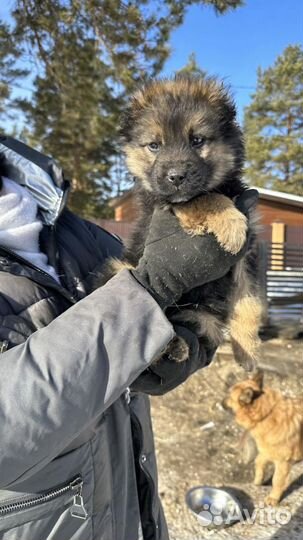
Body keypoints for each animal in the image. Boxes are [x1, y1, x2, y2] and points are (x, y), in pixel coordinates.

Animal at [101, 76, 262, 370]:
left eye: (197, 140)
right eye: (154, 145)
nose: (176, 177)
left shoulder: (249, 254)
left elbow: (250, 301)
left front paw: (248, 351)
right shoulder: (168, 204)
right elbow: (203, 198)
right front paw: (231, 223)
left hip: (205, 317)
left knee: (186, 322)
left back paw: (175, 346)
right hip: (120, 268)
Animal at [223, 372, 303, 506]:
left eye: (229, 396)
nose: (220, 402)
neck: (266, 414)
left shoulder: (283, 462)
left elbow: (277, 480)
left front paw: (273, 497)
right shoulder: (267, 451)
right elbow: (258, 462)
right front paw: (258, 481)